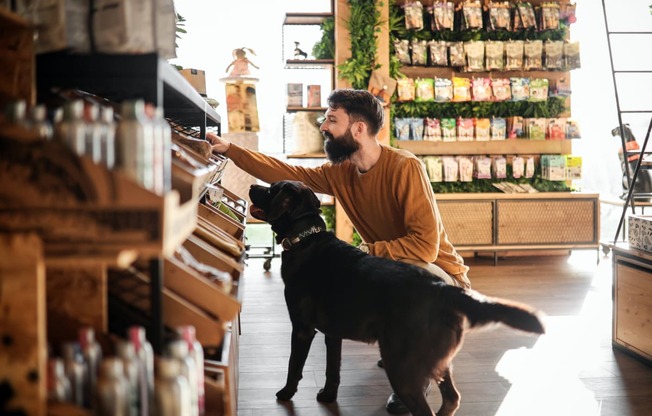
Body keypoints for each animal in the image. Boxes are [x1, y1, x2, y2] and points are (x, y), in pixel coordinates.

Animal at [250, 180, 544, 414]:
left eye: (272, 188)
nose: (252, 186)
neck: (305, 239)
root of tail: (441, 288)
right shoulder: (333, 333)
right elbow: (333, 370)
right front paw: (327, 397)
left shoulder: (302, 328)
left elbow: (293, 365)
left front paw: (285, 393)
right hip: (438, 360)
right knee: (452, 399)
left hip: (402, 366)